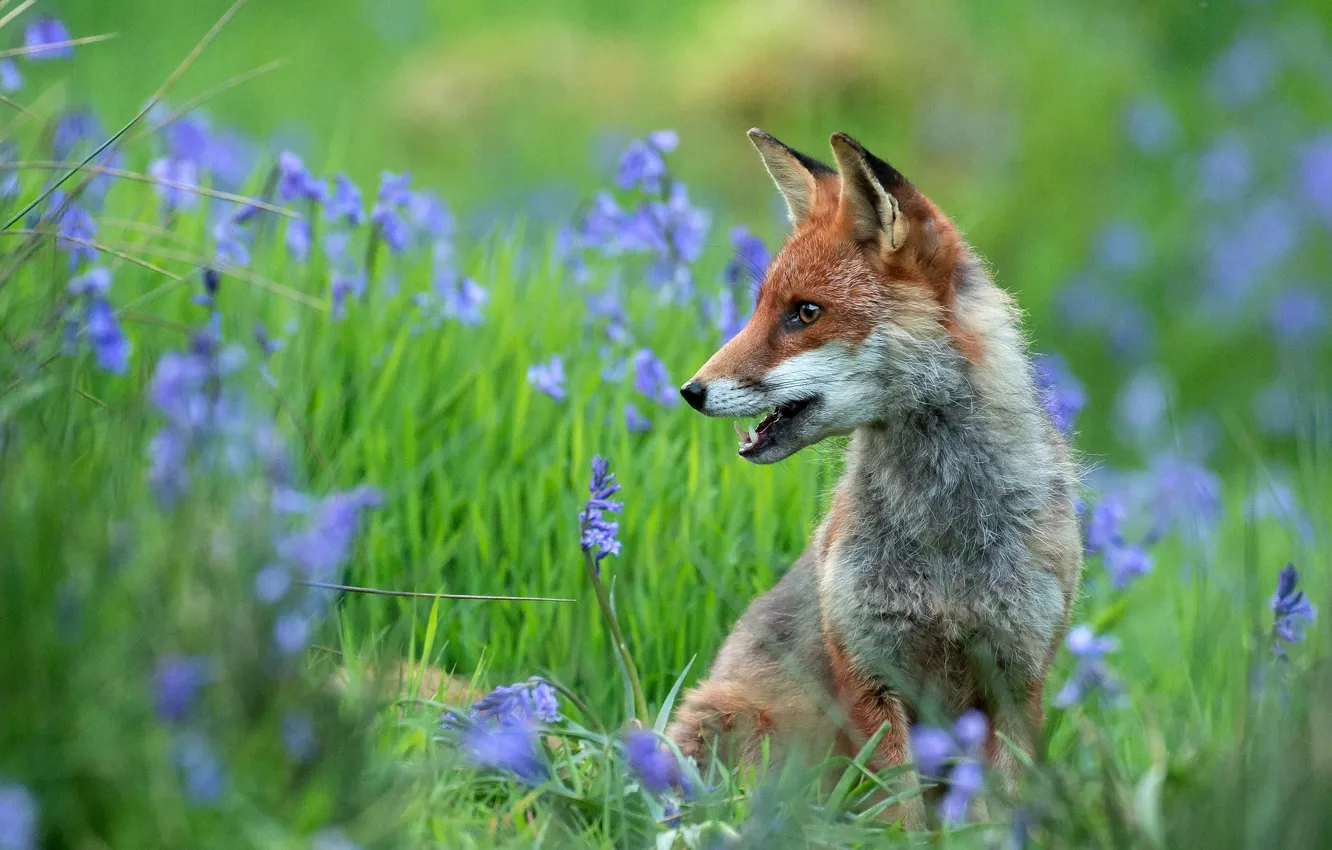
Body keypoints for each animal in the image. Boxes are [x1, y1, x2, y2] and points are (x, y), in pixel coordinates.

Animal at [666, 130, 1082, 823]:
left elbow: (993, 818)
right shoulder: (867, 668)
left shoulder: (1017, 674)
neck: (945, 543)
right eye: (760, 308)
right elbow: (899, 813)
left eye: (805, 313)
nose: (690, 391)